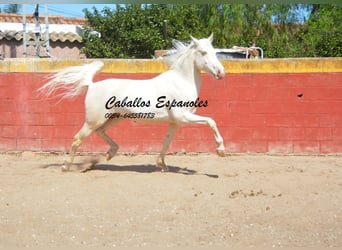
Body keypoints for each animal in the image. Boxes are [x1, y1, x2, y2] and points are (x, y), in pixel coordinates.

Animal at [40, 33, 226, 172]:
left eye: (215, 52)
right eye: (203, 52)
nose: (221, 73)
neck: (180, 81)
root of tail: (91, 84)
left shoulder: (175, 122)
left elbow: (166, 142)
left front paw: (162, 165)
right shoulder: (183, 117)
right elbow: (211, 121)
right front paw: (221, 151)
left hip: (115, 118)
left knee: (100, 132)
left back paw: (110, 153)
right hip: (94, 120)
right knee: (78, 138)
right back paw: (66, 166)